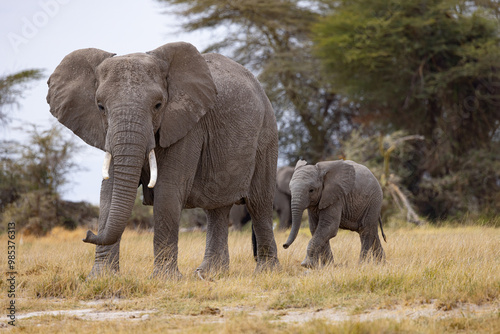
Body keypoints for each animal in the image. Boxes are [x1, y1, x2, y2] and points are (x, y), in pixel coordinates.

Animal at [46, 41, 282, 276]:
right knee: (217, 207)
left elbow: (168, 189)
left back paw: (265, 272)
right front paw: (100, 277)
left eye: (158, 105)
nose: (87, 234)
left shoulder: (188, 125)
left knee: (259, 204)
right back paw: (208, 274)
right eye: (100, 106)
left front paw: (164, 279)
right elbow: (109, 192)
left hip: (267, 134)